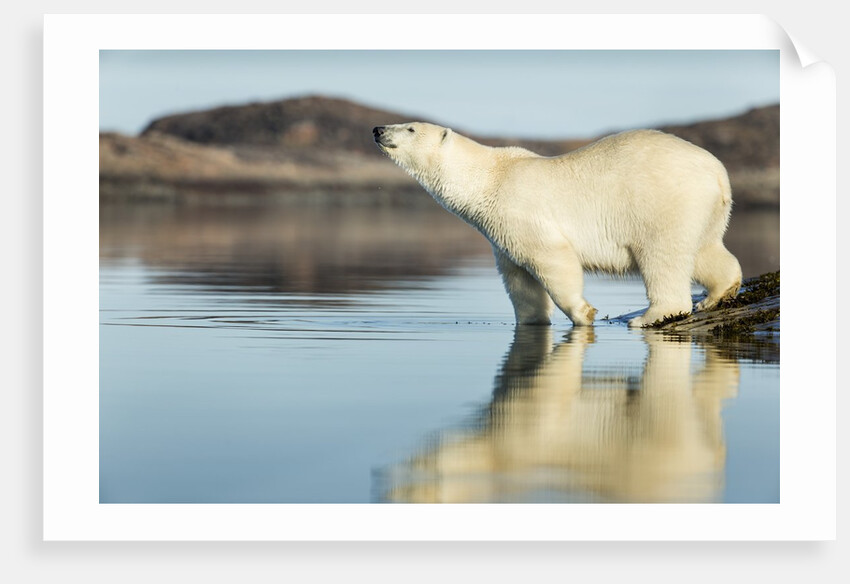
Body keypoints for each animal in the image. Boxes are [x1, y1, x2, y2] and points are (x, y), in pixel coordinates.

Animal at [372, 122, 742, 328]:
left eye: (410, 128)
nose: (378, 130)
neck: (489, 178)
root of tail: (717, 172)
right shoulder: (499, 235)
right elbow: (519, 281)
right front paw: (532, 321)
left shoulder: (520, 212)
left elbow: (553, 260)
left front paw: (584, 314)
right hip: (706, 209)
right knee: (705, 249)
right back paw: (717, 295)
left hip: (662, 203)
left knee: (661, 256)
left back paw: (648, 317)